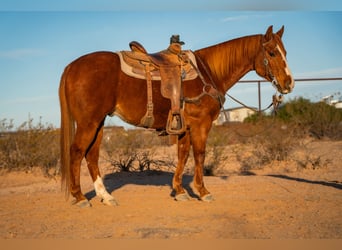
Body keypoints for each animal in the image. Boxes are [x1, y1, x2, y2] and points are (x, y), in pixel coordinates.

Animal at [58, 25, 294, 207]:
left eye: (285, 52)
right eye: (272, 53)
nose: (289, 83)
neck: (207, 73)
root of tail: (71, 66)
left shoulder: (184, 127)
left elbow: (183, 155)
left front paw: (180, 191)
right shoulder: (201, 125)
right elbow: (199, 154)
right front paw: (203, 191)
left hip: (98, 123)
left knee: (91, 156)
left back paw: (106, 197)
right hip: (89, 123)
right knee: (77, 152)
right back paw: (80, 197)